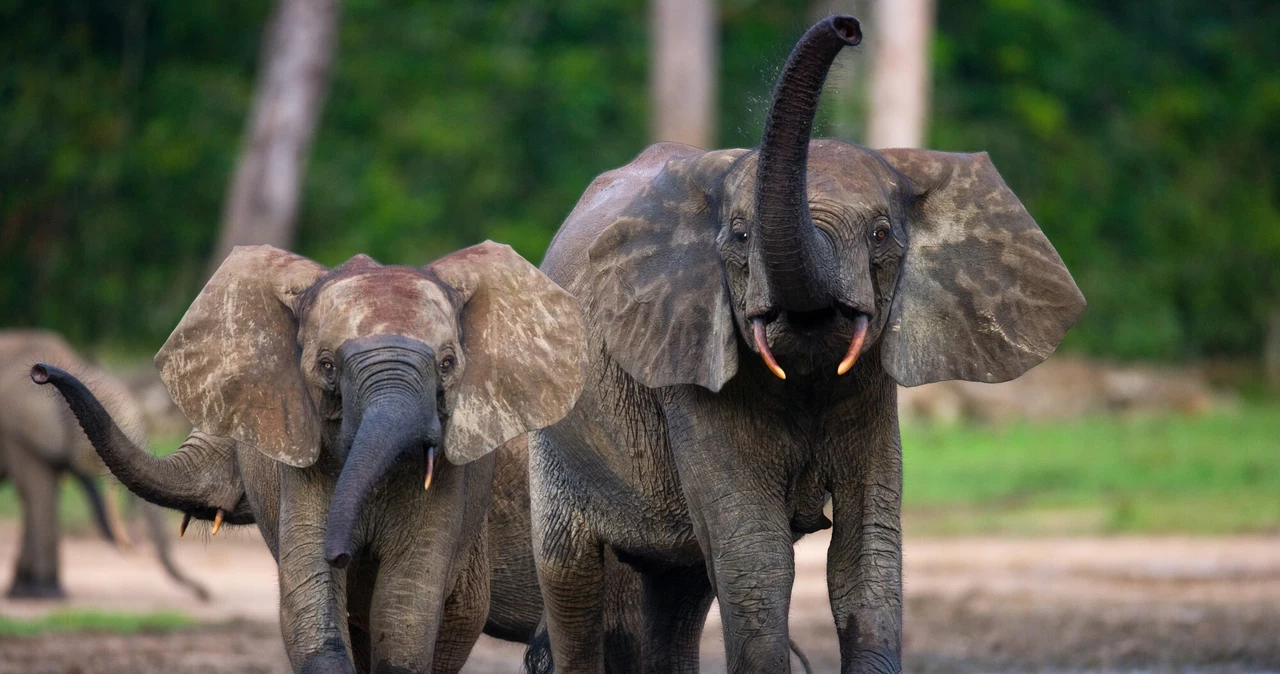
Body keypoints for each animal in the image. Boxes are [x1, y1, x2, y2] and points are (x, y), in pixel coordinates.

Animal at [0, 329, 208, 598]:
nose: (205, 594)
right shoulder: (17, 432)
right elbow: (37, 492)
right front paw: (43, 593)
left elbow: (43, 493)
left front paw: (35, 590)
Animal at [33, 242, 586, 674]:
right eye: (326, 366)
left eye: (448, 364)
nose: (40, 372)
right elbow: (313, 608)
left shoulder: (459, 480)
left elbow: (405, 614)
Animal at [524, 15, 1085, 674]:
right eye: (740, 237)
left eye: (881, 234)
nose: (848, 27)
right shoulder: (688, 371)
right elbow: (755, 558)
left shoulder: (871, 389)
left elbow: (867, 555)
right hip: (555, 443)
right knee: (572, 583)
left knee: (679, 591)